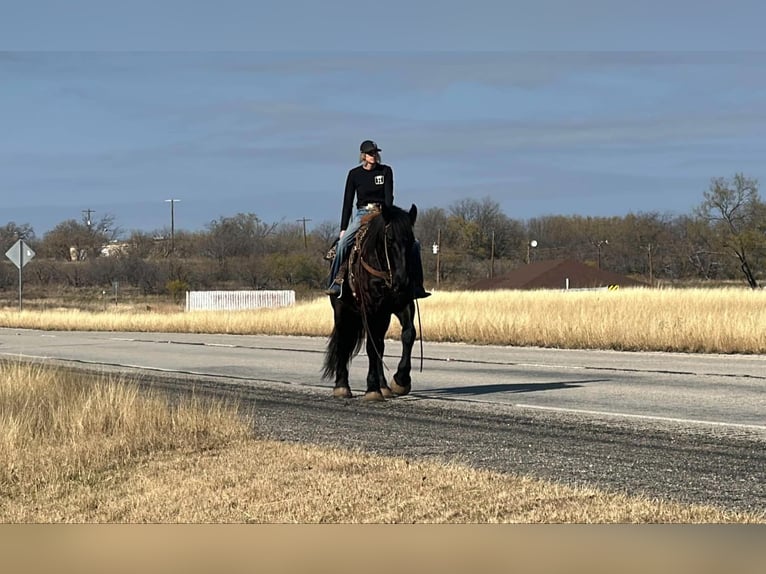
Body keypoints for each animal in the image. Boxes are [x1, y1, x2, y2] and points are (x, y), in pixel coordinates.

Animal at [324, 205, 420, 402]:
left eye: (410, 240)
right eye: (389, 239)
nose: (402, 281)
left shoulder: (402, 304)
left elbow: (408, 334)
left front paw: (400, 381)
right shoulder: (370, 309)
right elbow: (370, 347)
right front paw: (372, 389)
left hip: (382, 316)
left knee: (380, 345)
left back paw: (384, 387)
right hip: (342, 311)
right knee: (343, 341)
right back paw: (342, 386)